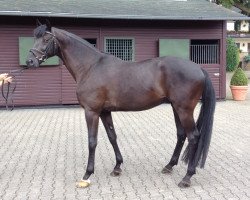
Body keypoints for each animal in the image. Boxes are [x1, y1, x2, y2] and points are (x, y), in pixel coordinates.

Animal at [26, 21, 216, 188]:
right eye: (35, 38)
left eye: (46, 39)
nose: (29, 61)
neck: (90, 67)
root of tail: (199, 68)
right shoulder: (104, 112)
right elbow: (112, 137)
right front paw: (117, 167)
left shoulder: (91, 111)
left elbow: (92, 141)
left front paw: (87, 175)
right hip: (176, 108)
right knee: (181, 135)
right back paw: (169, 166)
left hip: (184, 110)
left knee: (193, 137)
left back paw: (187, 177)